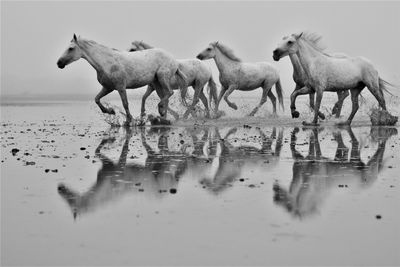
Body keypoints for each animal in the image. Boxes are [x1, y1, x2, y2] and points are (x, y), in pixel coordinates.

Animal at [57, 34, 187, 125]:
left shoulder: (120, 87)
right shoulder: (108, 87)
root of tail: (174, 60)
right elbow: (97, 99)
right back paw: (163, 118)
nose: (59, 63)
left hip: (162, 78)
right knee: (165, 97)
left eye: (71, 48)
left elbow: (125, 104)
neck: (107, 63)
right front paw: (110, 111)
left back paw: (160, 111)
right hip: (157, 83)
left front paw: (129, 120)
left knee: (169, 93)